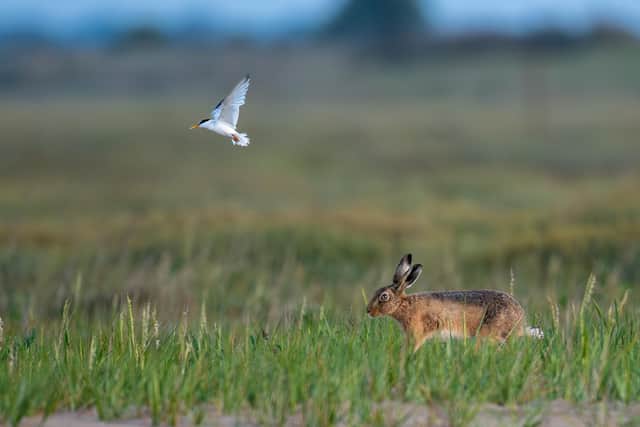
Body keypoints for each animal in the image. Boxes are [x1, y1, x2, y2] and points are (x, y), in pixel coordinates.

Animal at [366, 253, 543, 352]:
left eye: (384, 296)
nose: (368, 311)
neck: (404, 305)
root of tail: (520, 319)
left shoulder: (418, 332)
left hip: (488, 332)